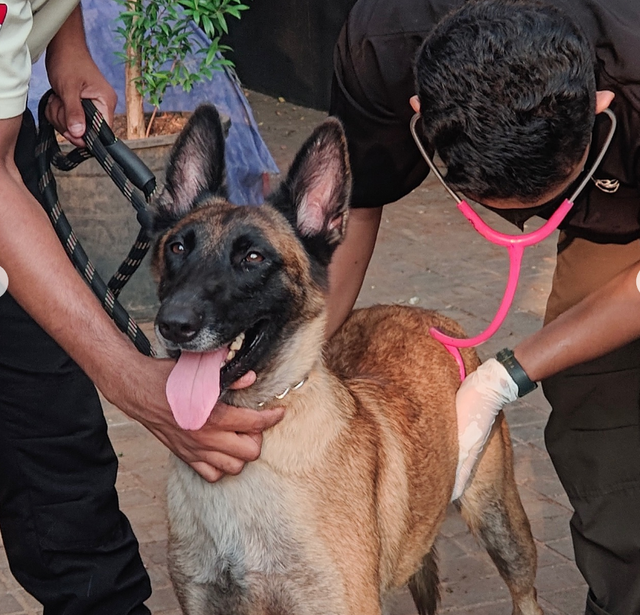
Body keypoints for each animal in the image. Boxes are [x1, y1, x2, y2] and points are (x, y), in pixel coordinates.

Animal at [151, 106, 544, 615]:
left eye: (253, 258)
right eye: (178, 247)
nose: (172, 324)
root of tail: (425, 314)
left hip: (501, 526)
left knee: (525, 592)